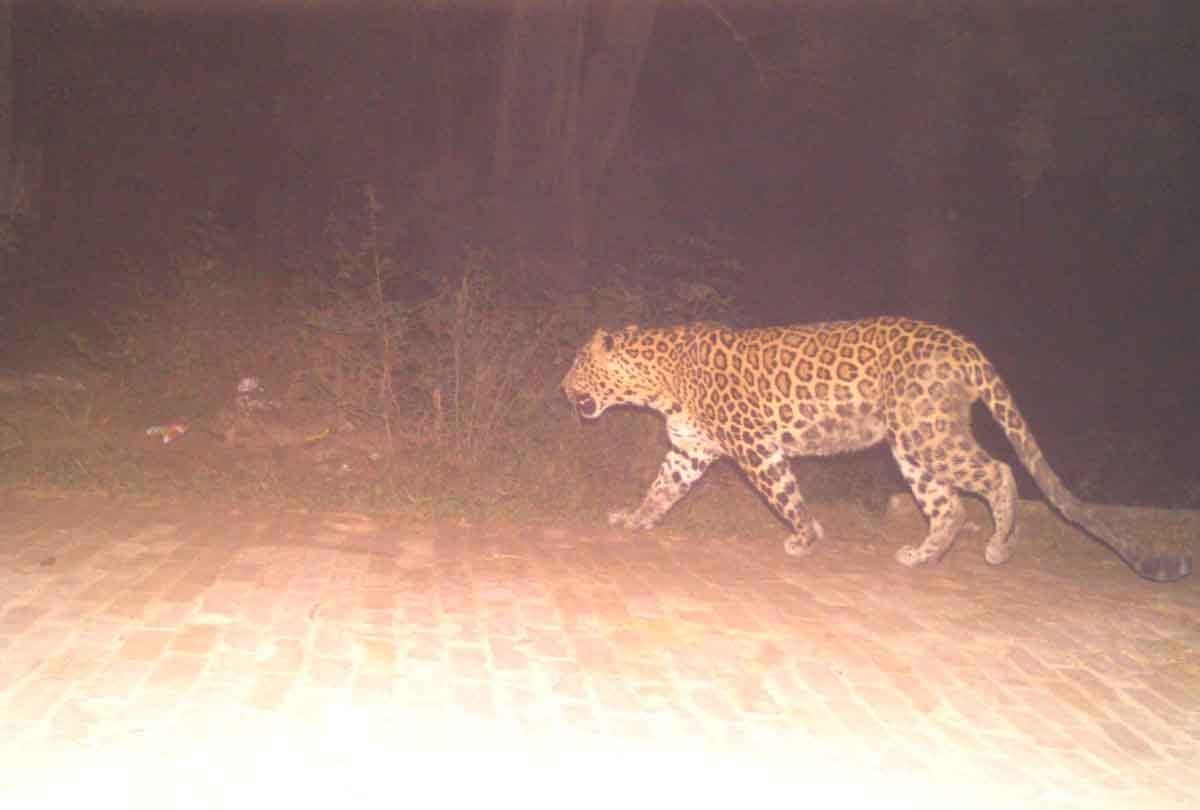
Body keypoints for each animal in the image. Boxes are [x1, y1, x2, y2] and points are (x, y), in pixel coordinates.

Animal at [561, 316, 1192, 582]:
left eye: (578, 366)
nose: (563, 388)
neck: (657, 382)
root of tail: (963, 344)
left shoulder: (756, 448)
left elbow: (784, 495)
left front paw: (805, 537)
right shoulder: (689, 453)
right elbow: (660, 490)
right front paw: (634, 519)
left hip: (928, 435)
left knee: (999, 473)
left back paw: (999, 546)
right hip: (912, 446)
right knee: (950, 506)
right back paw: (923, 555)